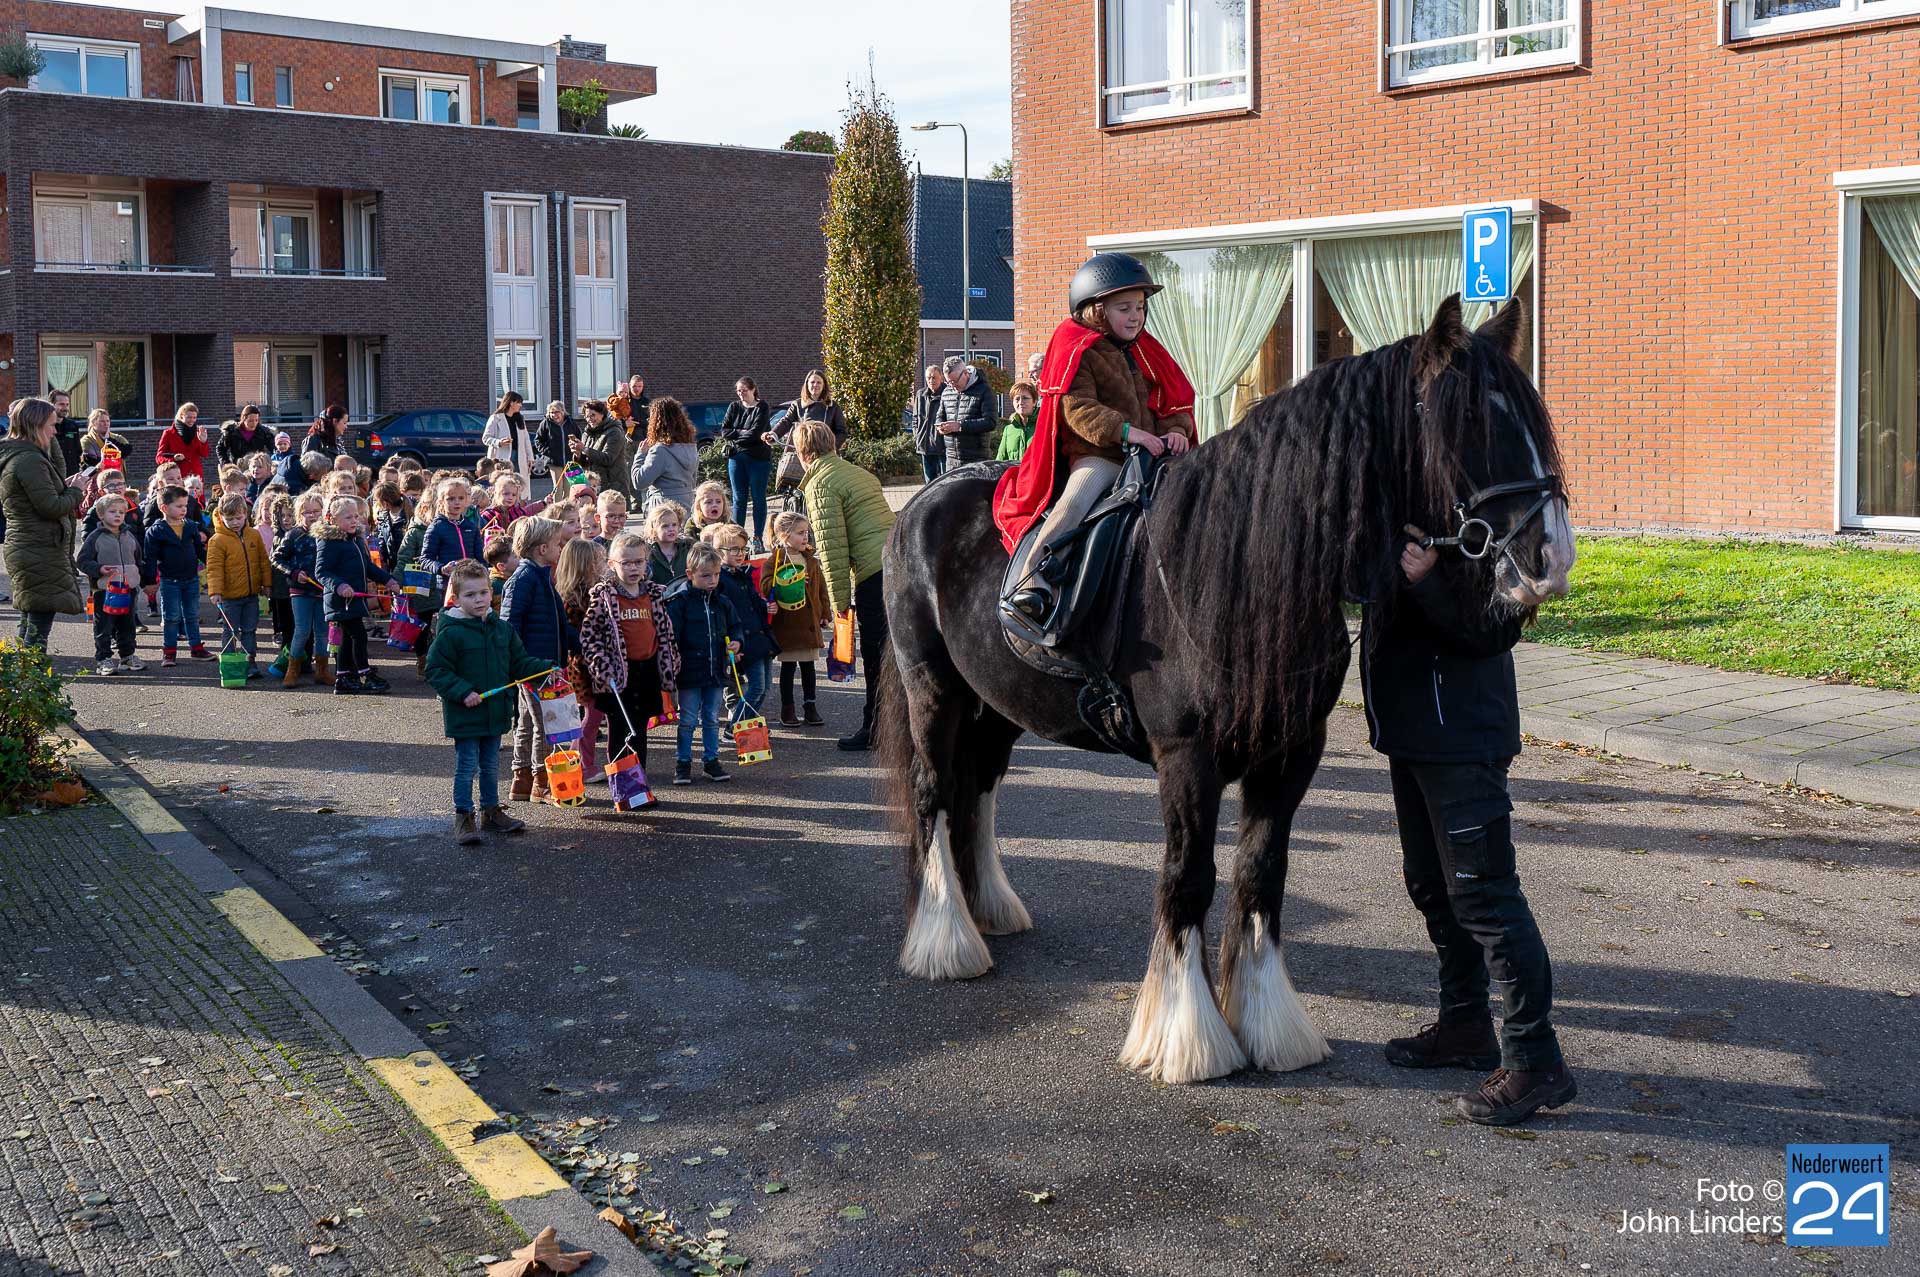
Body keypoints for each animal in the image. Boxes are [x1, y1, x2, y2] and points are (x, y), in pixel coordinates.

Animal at [875, 294, 1575, 1085]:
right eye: (1471, 422)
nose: (1552, 558)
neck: (1240, 566)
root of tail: (924, 498)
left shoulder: (1291, 755)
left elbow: (1261, 875)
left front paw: (1272, 1026)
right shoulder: (1188, 758)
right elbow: (1189, 878)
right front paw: (1186, 1034)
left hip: (996, 702)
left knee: (980, 788)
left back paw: (986, 907)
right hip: (933, 687)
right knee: (935, 791)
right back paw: (945, 939)